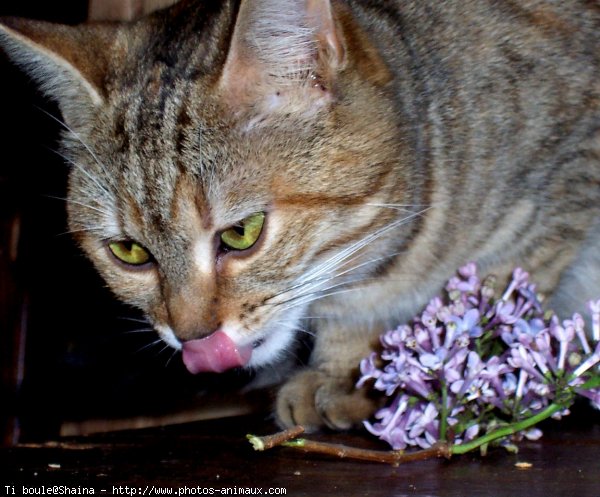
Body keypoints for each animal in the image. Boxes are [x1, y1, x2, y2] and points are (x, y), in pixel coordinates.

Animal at [1, 0, 600, 430]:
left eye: (242, 234)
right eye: (129, 252)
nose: (194, 340)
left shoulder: (567, 185)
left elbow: (506, 286)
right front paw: (349, 369)